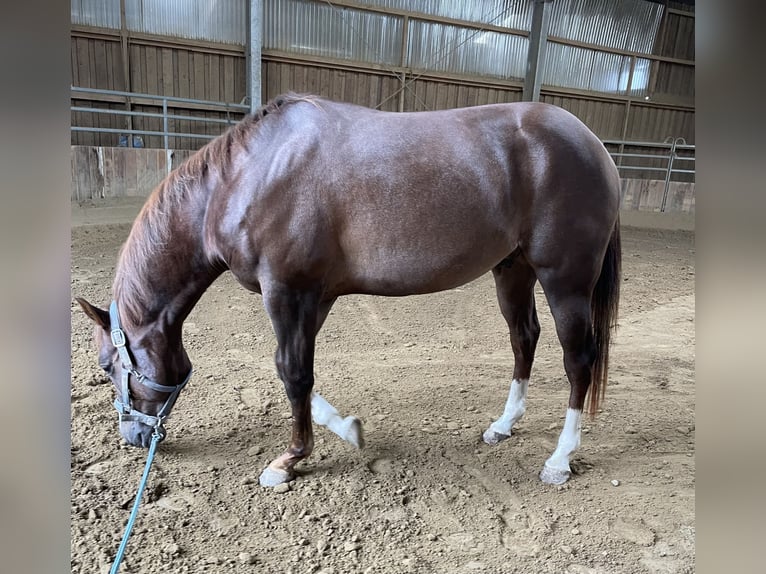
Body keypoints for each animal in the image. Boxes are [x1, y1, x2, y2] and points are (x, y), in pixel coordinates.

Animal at [76, 93, 621, 487]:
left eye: (106, 366)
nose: (133, 436)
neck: (246, 178)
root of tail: (593, 144)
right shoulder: (314, 297)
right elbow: (299, 375)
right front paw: (346, 430)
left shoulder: (286, 292)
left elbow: (292, 373)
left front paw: (288, 460)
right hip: (513, 270)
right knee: (523, 338)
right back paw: (503, 426)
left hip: (565, 278)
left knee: (579, 359)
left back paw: (560, 459)